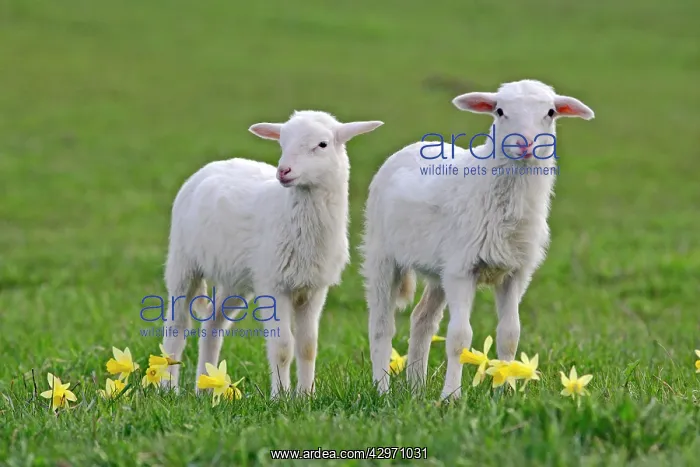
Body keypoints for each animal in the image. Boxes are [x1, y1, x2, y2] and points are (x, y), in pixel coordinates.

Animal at [162, 110, 383, 397]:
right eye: (282, 143)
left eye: (322, 144)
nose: (283, 171)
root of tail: (212, 165)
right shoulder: (274, 286)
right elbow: (282, 347)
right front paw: (281, 397)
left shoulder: (313, 288)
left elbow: (308, 346)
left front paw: (307, 395)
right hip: (183, 262)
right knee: (176, 325)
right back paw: (167, 388)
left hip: (236, 280)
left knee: (212, 326)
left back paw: (205, 389)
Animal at [361, 79, 594, 399]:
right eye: (499, 111)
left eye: (550, 112)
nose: (525, 143)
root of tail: (414, 146)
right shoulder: (463, 270)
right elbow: (460, 337)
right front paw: (451, 396)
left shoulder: (515, 273)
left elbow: (510, 334)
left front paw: (506, 390)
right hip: (382, 253)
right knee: (381, 325)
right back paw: (381, 389)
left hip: (439, 270)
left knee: (422, 320)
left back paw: (417, 389)